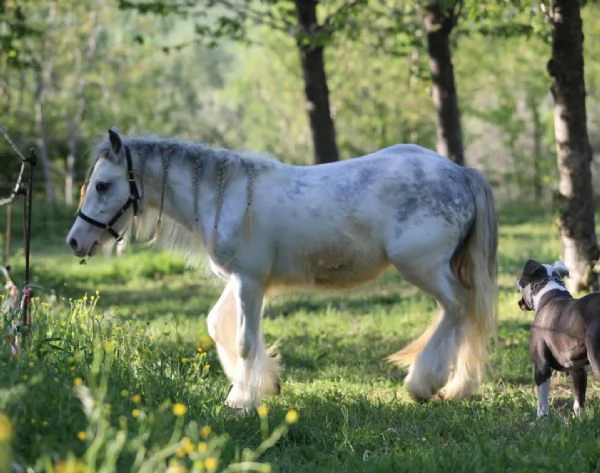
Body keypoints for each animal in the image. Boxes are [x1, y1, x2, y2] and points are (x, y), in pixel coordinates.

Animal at [65, 127, 500, 408]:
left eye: (102, 185)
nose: (75, 241)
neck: (226, 197)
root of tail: (461, 173)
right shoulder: (243, 282)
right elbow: (218, 325)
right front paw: (266, 383)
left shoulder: (249, 281)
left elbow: (243, 340)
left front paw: (241, 399)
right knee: (461, 314)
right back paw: (455, 387)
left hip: (422, 267)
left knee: (459, 307)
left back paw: (424, 384)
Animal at [516, 258, 600, 416]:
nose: (517, 279)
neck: (548, 292)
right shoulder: (578, 369)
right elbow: (578, 401)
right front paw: (579, 419)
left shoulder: (541, 366)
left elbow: (542, 403)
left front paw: (541, 419)